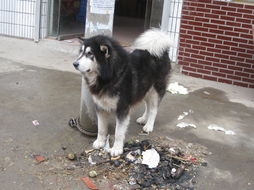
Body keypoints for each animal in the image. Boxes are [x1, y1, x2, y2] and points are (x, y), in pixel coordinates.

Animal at [72, 28, 174, 156]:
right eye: (81, 53)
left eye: (90, 54)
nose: (74, 64)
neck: (110, 75)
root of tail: (161, 51)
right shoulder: (100, 107)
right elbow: (101, 128)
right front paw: (100, 142)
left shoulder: (122, 108)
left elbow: (119, 132)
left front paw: (116, 149)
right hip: (144, 88)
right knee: (148, 105)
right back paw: (143, 119)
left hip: (156, 90)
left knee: (154, 109)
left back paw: (149, 125)